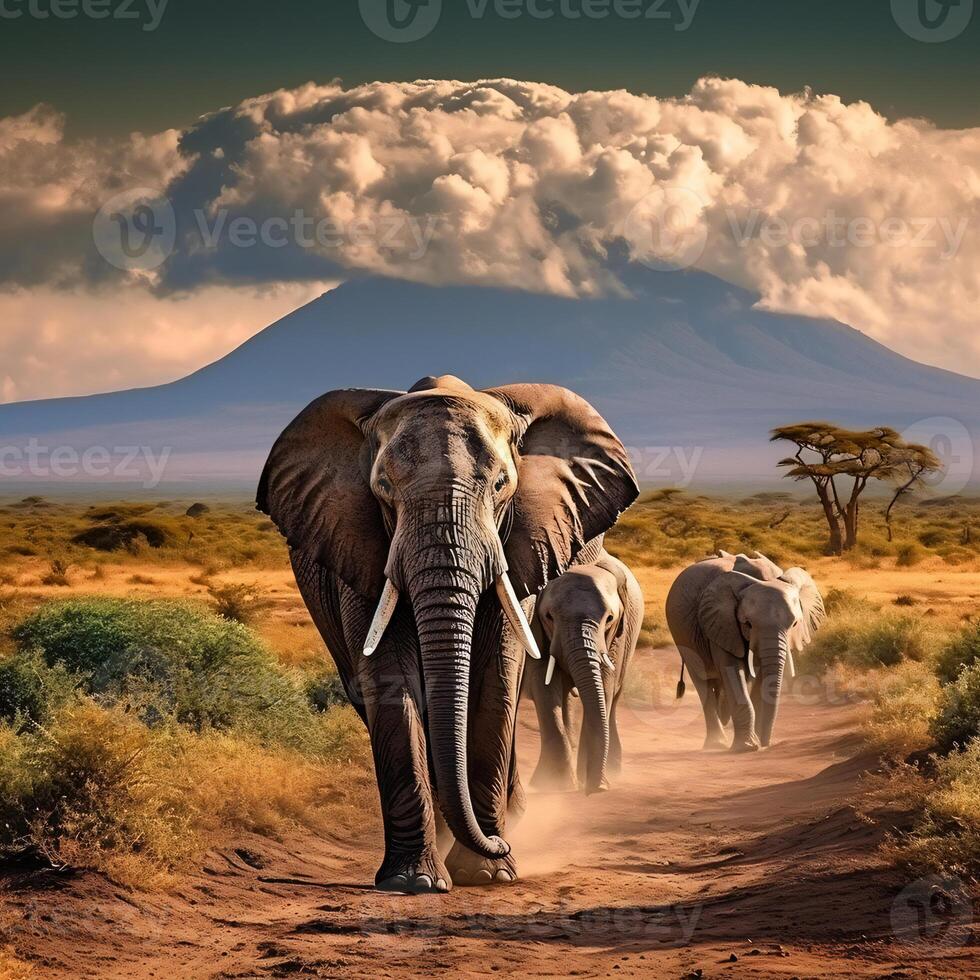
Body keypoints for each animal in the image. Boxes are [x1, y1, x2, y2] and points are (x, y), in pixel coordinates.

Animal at [524, 552, 648, 796]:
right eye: (549, 616)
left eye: (609, 618)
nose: (596, 789)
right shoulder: (535, 628)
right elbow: (544, 684)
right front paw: (553, 784)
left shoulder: (617, 636)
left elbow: (605, 684)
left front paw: (592, 780)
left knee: (614, 697)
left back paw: (612, 769)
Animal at [664, 552, 824, 752]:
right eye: (748, 624)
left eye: (794, 624)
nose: (766, 744)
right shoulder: (721, 622)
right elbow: (731, 670)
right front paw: (747, 746)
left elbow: (761, 676)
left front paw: (756, 741)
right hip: (682, 636)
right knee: (702, 682)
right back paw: (716, 743)